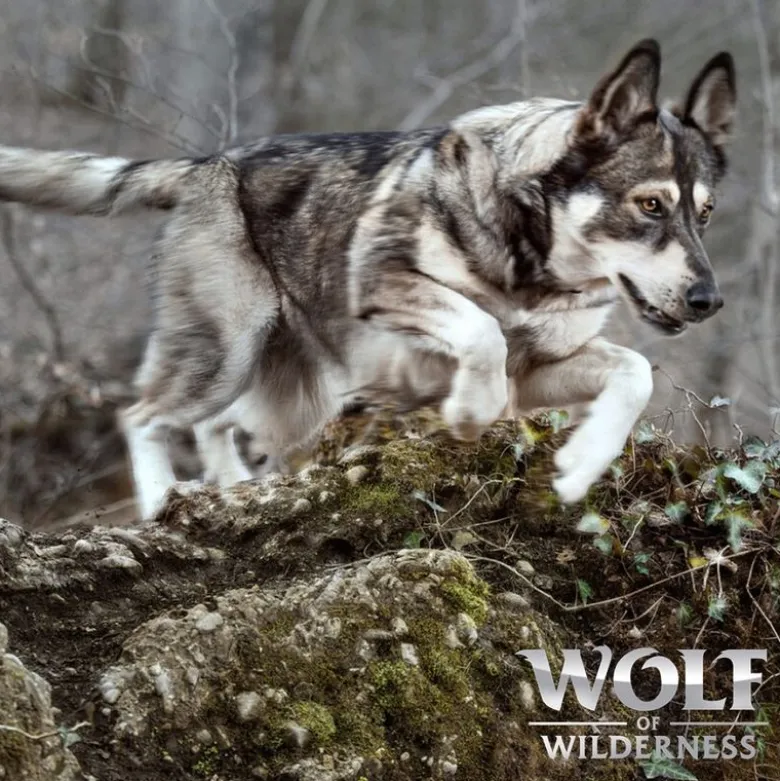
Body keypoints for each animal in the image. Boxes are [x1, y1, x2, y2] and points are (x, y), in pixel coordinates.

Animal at [0, 39, 736, 522]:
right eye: (650, 204)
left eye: (705, 213)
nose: (709, 300)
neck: (531, 260)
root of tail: (206, 164)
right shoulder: (386, 285)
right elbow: (482, 331)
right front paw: (470, 411)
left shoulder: (541, 369)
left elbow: (633, 373)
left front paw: (581, 465)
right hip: (228, 350)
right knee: (142, 415)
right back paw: (160, 500)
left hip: (285, 387)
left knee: (215, 427)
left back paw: (233, 487)